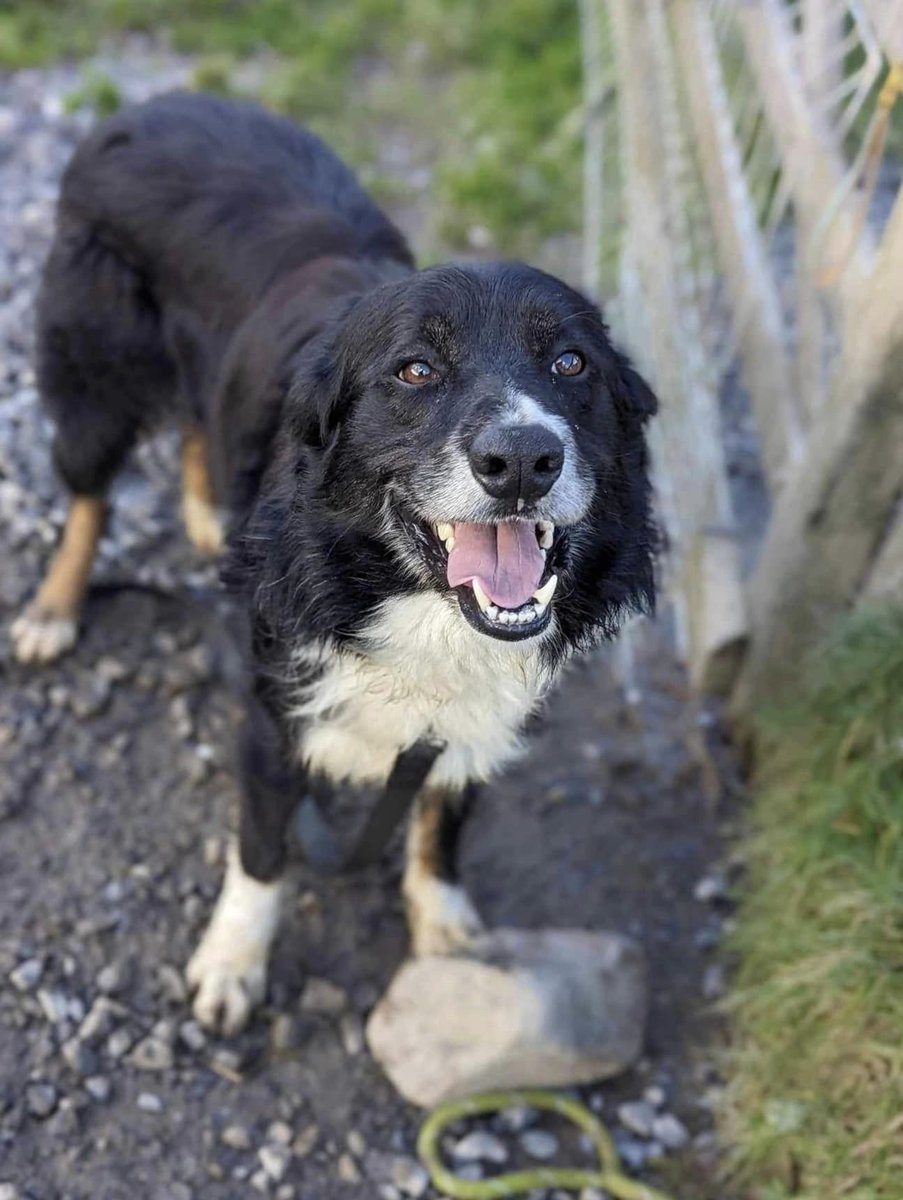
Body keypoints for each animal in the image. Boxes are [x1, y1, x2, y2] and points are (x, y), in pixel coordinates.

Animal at [12, 91, 658, 1032]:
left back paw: (205, 513)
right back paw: (53, 609)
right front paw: (231, 965)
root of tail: (151, 104)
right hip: (96, 369)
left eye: (570, 361)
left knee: (198, 424)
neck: (412, 601)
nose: (522, 460)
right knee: (89, 493)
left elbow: (440, 829)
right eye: (415, 370)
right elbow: (262, 852)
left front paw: (444, 934)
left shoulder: (468, 722)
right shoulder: (266, 707)